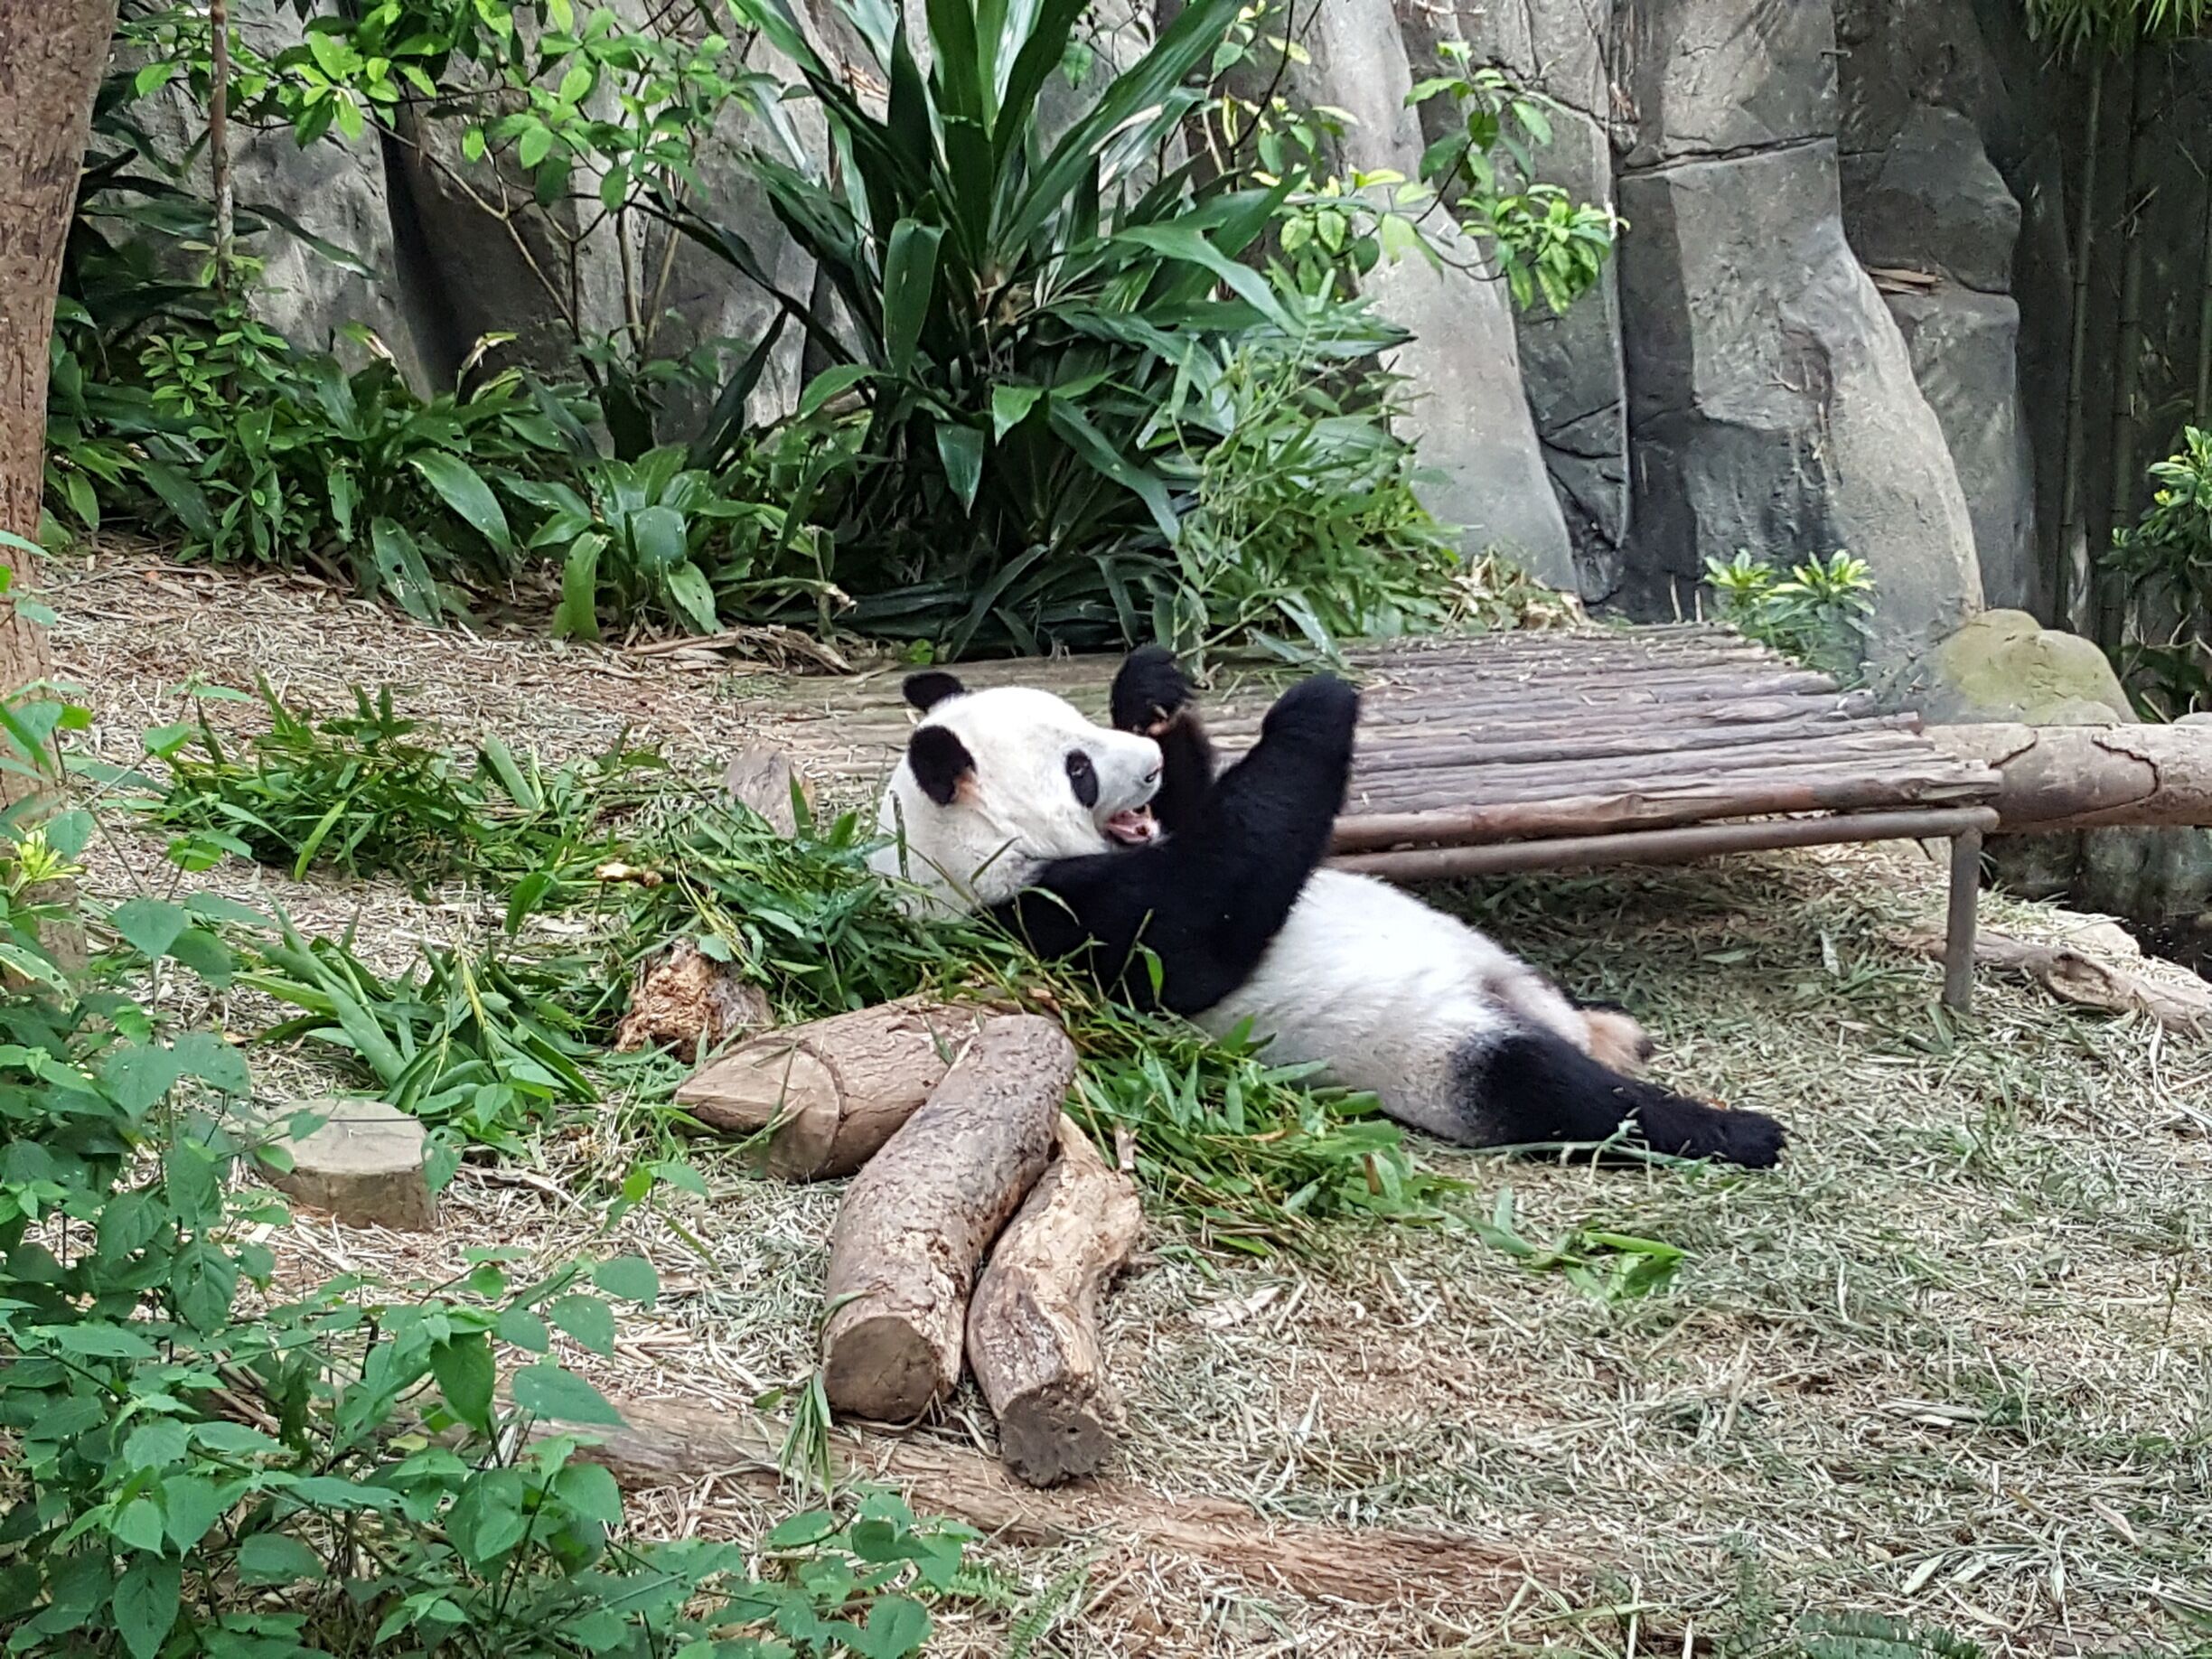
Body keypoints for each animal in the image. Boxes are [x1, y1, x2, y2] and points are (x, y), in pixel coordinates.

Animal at [868, 647, 1787, 1170]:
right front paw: (1315, 702)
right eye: (1079, 771)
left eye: (1084, 736)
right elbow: (1206, 919)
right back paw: (1734, 1132)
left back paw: (1618, 1031)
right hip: (1435, 1055)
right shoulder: (1051, 921)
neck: (960, 863)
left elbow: (1203, 819)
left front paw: (1154, 695)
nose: (1144, 767)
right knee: (1555, 1094)